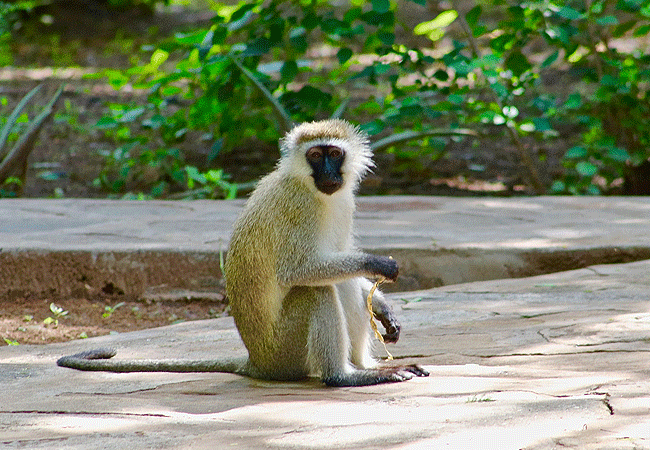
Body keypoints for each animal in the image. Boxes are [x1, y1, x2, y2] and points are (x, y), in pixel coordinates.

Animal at [58, 120, 428, 386]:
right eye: (314, 156)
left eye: (334, 154)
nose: (327, 173)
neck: (312, 188)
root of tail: (256, 362)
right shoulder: (300, 207)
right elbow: (299, 270)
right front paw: (378, 263)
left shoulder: (343, 203)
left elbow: (339, 259)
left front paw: (384, 308)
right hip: (286, 352)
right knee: (317, 290)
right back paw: (344, 376)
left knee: (342, 281)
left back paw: (365, 365)